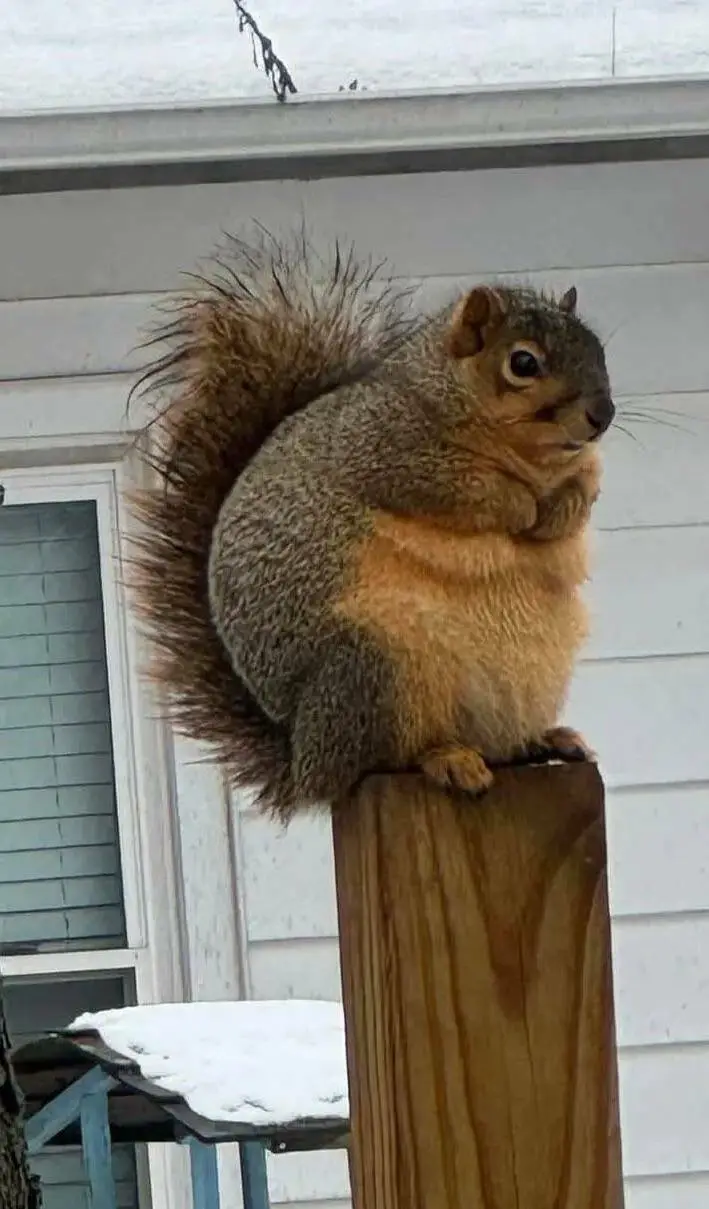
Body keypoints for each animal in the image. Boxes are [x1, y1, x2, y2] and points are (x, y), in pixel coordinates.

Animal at [129, 228, 614, 822]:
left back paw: (544, 741)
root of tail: (302, 760)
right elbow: (462, 488)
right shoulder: (387, 449)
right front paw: (521, 508)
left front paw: (556, 514)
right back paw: (446, 758)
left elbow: (583, 492)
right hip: (371, 669)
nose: (604, 415)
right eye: (523, 363)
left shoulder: (583, 466)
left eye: (598, 349)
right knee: (379, 760)